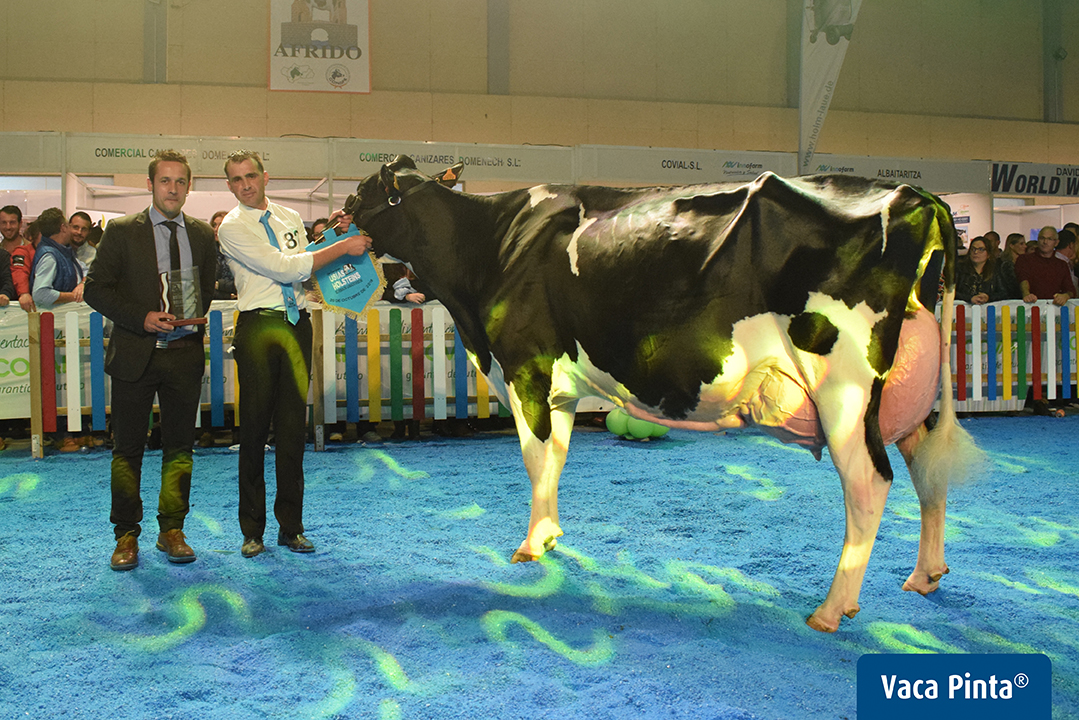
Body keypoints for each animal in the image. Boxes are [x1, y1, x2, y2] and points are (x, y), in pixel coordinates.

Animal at [343, 156, 979, 630]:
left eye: (360, 192)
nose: (336, 218)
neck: (489, 244)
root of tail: (916, 196)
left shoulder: (526, 366)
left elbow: (534, 457)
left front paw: (530, 545)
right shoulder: (561, 385)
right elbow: (556, 458)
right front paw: (550, 536)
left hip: (844, 388)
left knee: (869, 482)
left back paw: (831, 609)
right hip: (901, 398)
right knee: (927, 471)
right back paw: (925, 575)